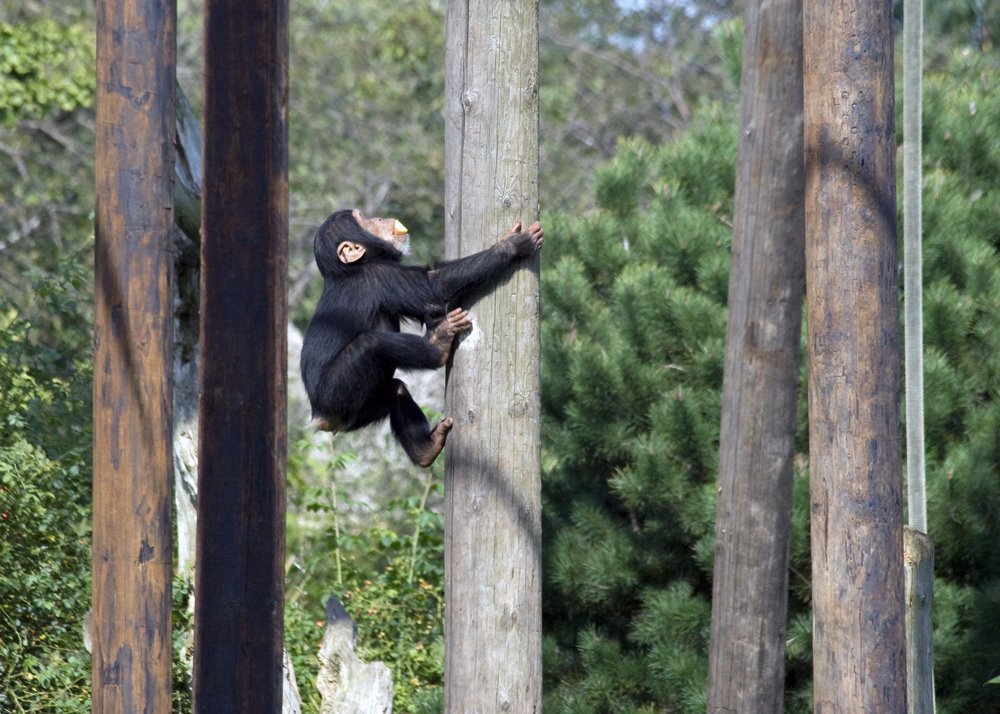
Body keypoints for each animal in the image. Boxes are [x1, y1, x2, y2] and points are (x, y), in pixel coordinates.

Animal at [300, 210, 544, 468]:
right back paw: (437, 345)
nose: (378, 218)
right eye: (363, 220)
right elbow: (433, 286)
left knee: (396, 390)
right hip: (335, 396)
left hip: (358, 413)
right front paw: (513, 245)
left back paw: (425, 448)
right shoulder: (379, 275)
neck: (348, 269)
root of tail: (321, 419)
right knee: (371, 344)